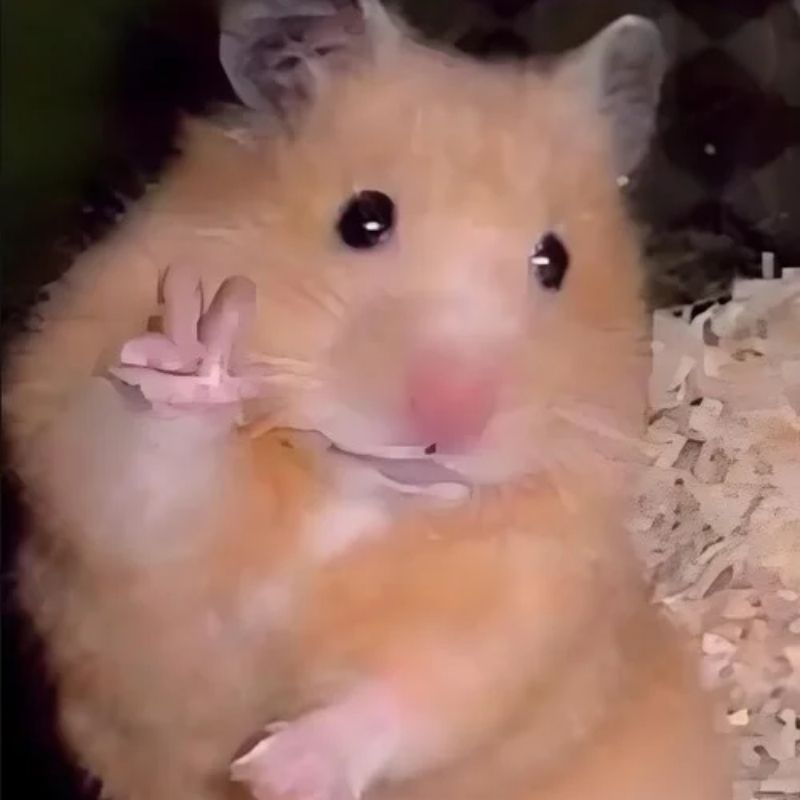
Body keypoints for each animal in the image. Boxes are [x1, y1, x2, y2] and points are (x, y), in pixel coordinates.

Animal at [3, 2, 730, 799]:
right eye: (363, 219)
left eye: (555, 261)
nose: (450, 420)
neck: (357, 492)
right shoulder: (93, 473)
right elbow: (146, 472)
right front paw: (201, 345)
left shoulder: (533, 595)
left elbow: (425, 690)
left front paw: (271, 773)